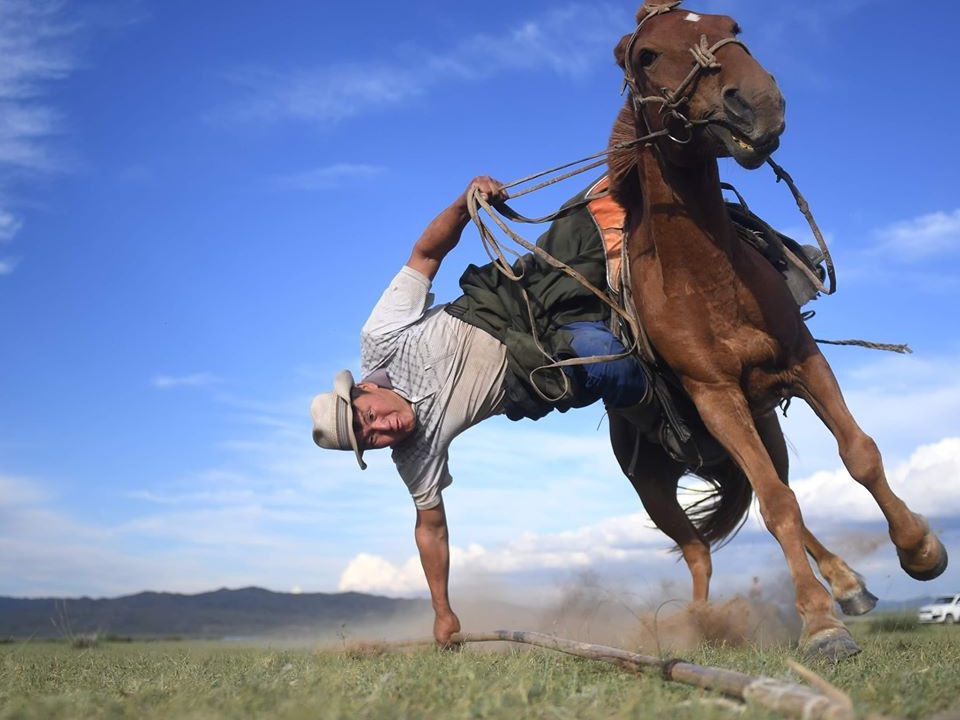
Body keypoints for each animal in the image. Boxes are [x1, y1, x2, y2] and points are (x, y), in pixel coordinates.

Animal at [608, 1, 944, 664]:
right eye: (647, 55)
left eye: (731, 27)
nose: (757, 101)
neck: (707, 280)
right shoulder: (716, 397)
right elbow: (776, 509)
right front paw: (820, 625)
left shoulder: (803, 360)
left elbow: (859, 456)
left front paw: (920, 550)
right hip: (655, 486)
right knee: (701, 549)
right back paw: (701, 622)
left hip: (767, 430)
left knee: (781, 492)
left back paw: (848, 584)